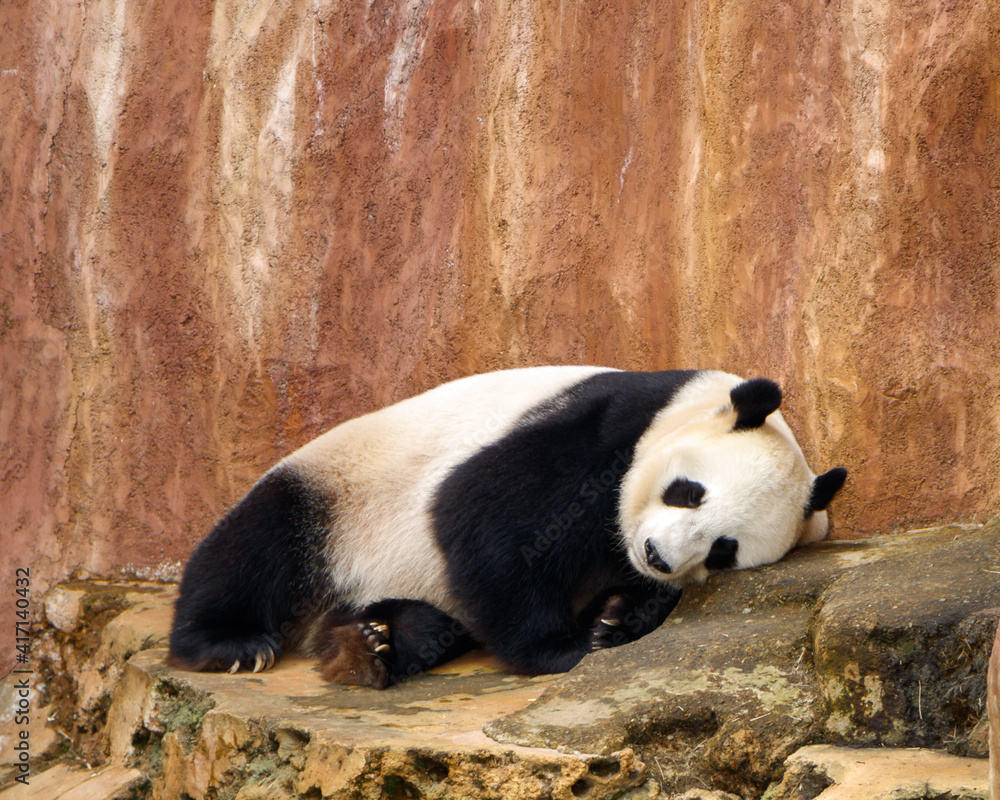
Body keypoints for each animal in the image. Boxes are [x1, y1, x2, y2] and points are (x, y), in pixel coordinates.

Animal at [167, 367, 846, 689]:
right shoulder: (605, 427)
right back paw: (229, 644)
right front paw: (561, 647)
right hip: (343, 492)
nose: (657, 555)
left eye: (724, 551)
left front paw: (615, 617)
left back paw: (372, 645)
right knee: (260, 545)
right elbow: (485, 517)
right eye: (688, 492)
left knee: (426, 623)